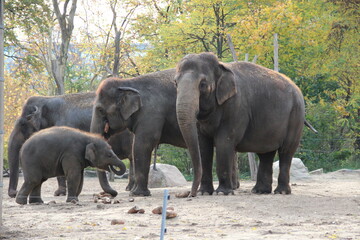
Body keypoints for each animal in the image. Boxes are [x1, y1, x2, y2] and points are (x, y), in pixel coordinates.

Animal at [90, 69, 205, 197]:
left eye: (100, 110)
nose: (114, 194)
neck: (127, 82)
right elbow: (136, 147)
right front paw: (135, 192)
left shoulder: (151, 112)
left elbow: (142, 145)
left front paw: (137, 194)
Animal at [176, 52, 316, 195]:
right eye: (175, 83)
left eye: (203, 84)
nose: (190, 194)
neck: (221, 66)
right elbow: (203, 145)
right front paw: (204, 192)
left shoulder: (236, 106)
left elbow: (224, 142)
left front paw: (222, 192)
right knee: (266, 154)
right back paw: (260, 191)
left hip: (296, 115)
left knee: (286, 151)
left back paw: (280, 192)